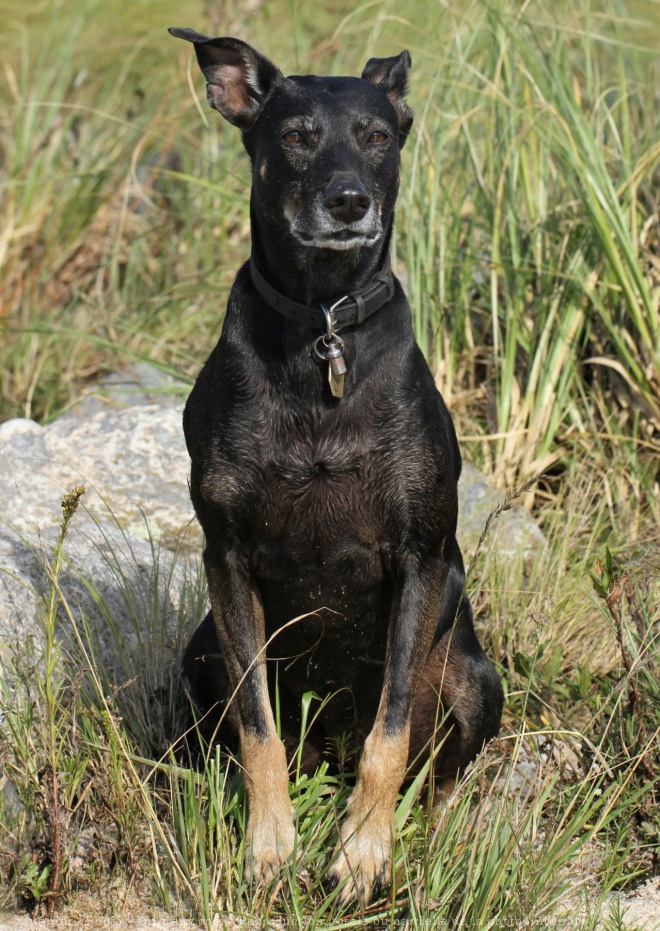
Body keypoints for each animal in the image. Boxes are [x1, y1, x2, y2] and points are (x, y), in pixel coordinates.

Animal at [171, 27, 506, 904]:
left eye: (378, 138)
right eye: (294, 137)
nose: (350, 201)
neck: (323, 324)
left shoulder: (422, 557)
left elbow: (389, 734)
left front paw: (361, 854)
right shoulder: (228, 560)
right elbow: (257, 728)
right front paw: (269, 848)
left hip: (474, 675)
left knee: (439, 771)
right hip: (198, 655)